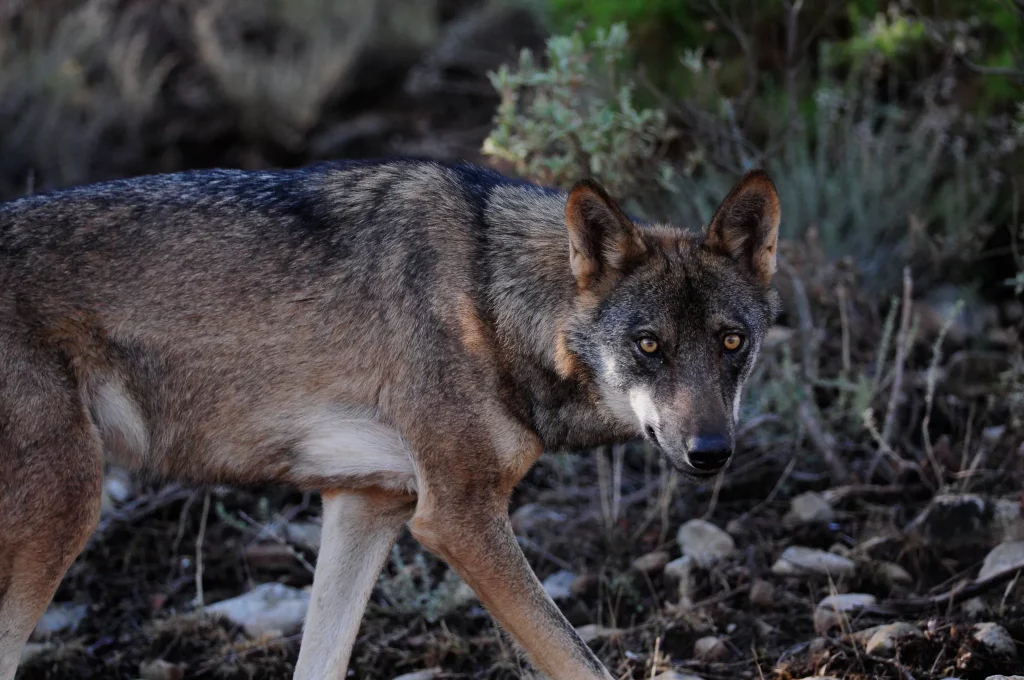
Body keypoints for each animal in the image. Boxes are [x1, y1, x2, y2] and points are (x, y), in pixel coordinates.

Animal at [0, 159, 780, 680]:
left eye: (731, 342)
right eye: (649, 346)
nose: (712, 451)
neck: (491, 299)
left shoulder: (367, 503)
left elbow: (321, 661)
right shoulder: (457, 518)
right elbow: (577, 659)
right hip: (68, 507)